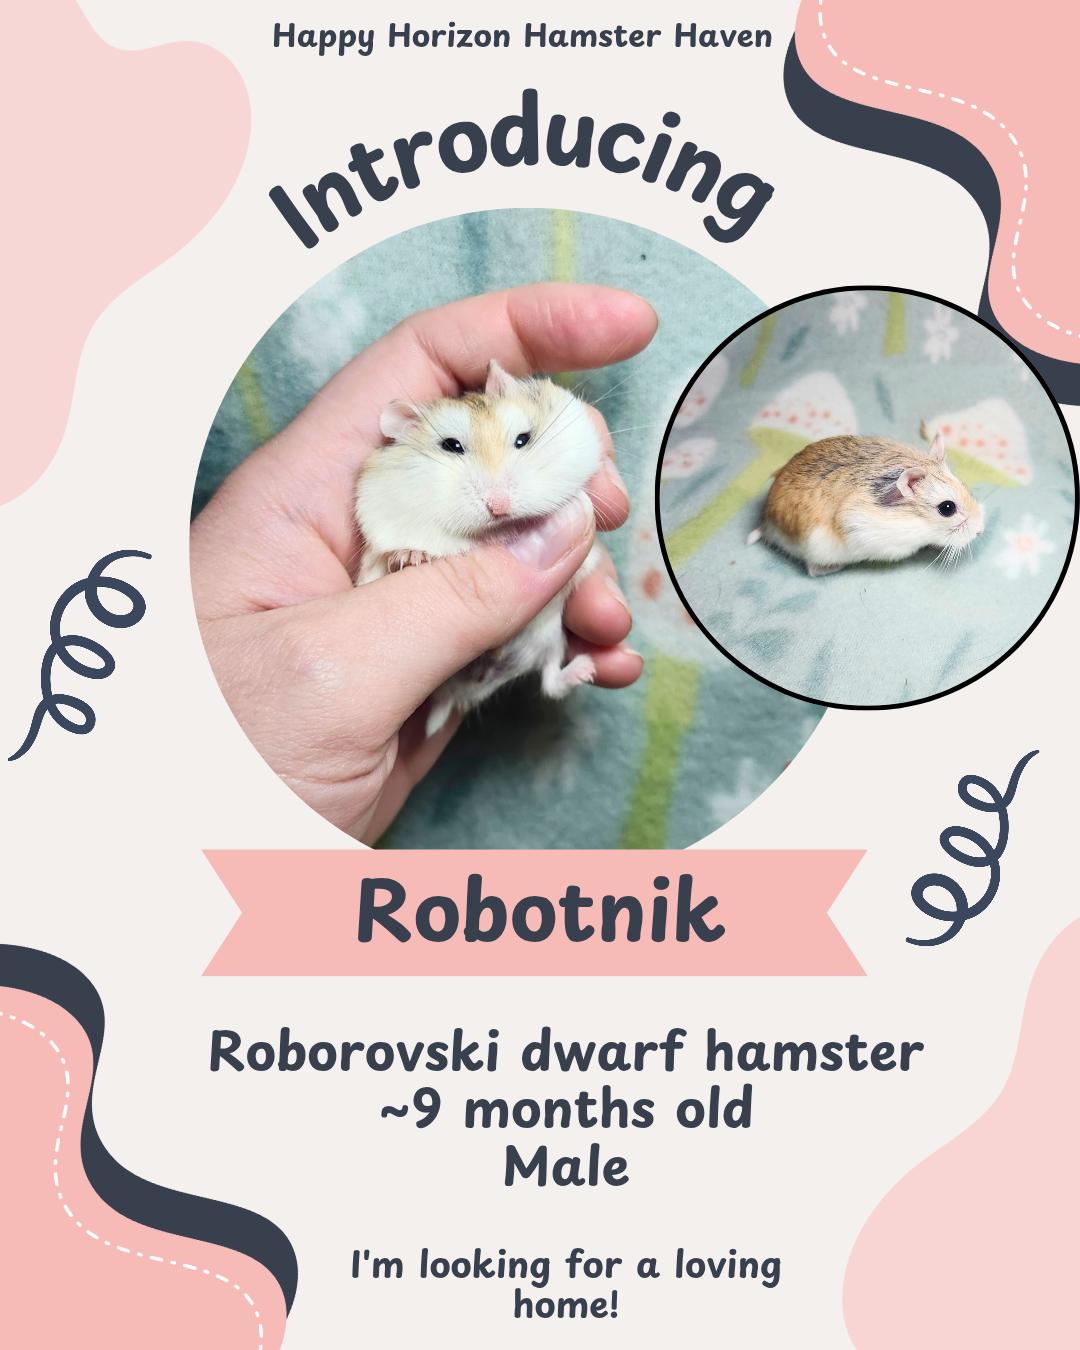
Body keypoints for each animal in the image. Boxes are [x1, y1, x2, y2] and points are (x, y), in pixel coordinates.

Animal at [355, 360, 605, 735]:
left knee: (550, 680)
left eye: (523, 439)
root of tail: (467, 690)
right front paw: (411, 557)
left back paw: (586, 669)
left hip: (550, 637)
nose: (498, 508)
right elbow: (389, 556)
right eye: (451, 445)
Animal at [747, 431, 985, 576]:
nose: (980, 531)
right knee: (813, 570)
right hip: (817, 549)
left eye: (963, 484)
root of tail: (767, 521)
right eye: (947, 508)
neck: (915, 521)